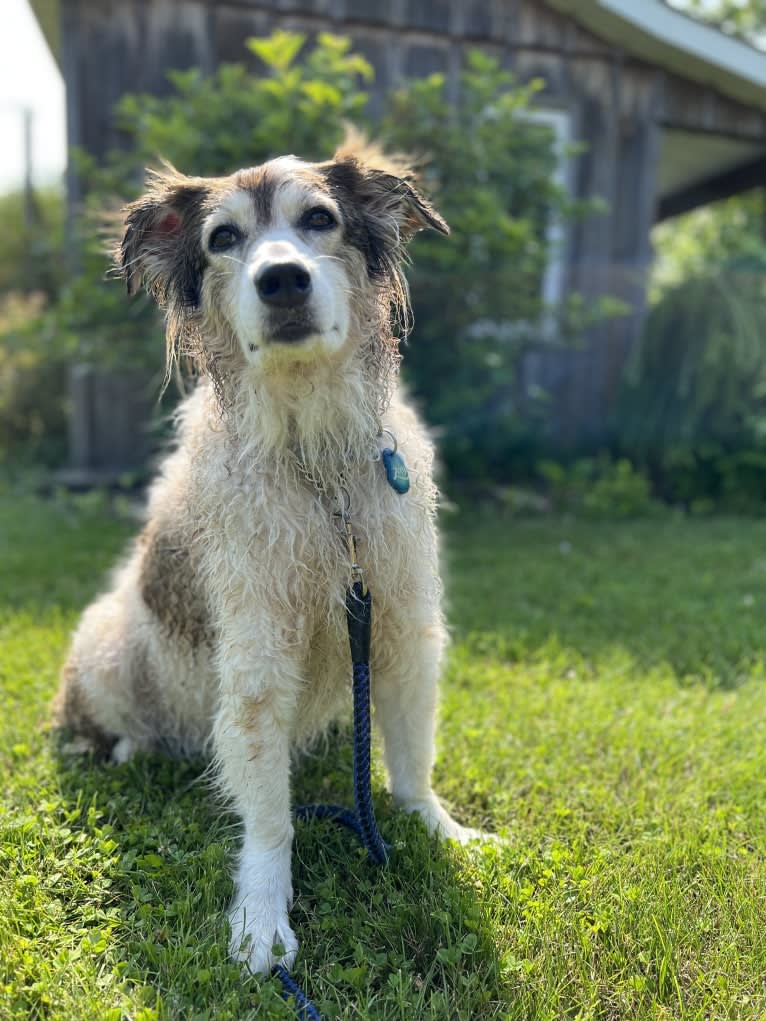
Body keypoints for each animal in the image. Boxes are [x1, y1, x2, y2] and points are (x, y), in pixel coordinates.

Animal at [55, 133, 480, 971]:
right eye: (223, 238)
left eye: (318, 218)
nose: (281, 278)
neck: (317, 465)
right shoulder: (257, 654)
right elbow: (272, 815)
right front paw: (262, 914)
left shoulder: (402, 619)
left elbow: (412, 757)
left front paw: (439, 830)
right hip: (106, 641)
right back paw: (131, 749)